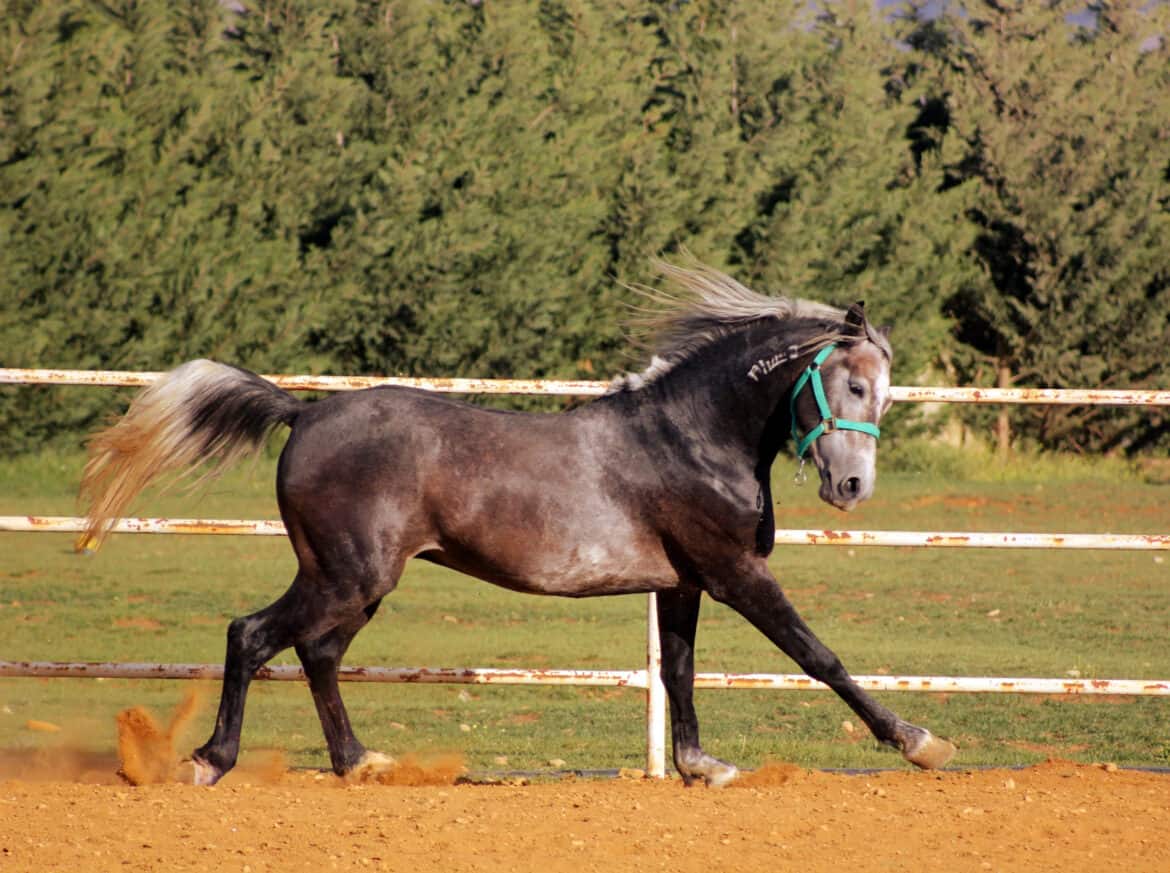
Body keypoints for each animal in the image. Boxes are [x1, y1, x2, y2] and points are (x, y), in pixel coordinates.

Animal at [79, 260, 955, 786]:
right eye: (849, 383)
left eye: (886, 394)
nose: (851, 486)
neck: (689, 435)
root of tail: (306, 412)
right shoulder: (735, 571)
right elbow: (817, 655)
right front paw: (919, 740)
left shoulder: (683, 583)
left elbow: (678, 672)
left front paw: (700, 765)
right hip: (344, 574)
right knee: (252, 635)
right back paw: (210, 760)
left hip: (355, 582)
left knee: (316, 652)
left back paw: (360, 762)